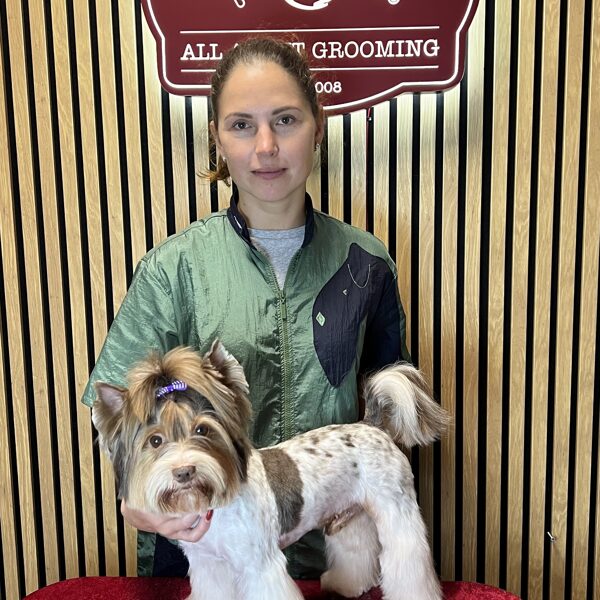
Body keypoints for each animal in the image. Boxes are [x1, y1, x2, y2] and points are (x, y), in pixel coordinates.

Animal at [92, 340, 449, 600]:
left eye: (202, 431)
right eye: (155, 441)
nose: (184, 472)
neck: (220, 506)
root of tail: (371, 425)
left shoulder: (260, 566)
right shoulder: (210, 568)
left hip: (397, 511)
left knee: (408, 557)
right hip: (350, 515)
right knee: (356, 550)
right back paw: (348, 585)